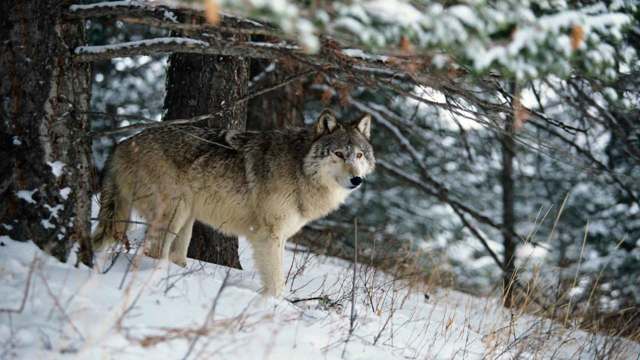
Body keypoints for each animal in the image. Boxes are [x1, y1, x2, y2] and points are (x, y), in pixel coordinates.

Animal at [92, 109, 378, 296]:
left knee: (174, 255)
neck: (299, 168)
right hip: (175, 212)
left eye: (359, 155)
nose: (356, 180)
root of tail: (122, 144)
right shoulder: (268, 236)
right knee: (153, 252)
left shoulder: (280, 236)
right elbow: (276, 281)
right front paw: (276, 307)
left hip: (186, 218)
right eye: (338, 154)